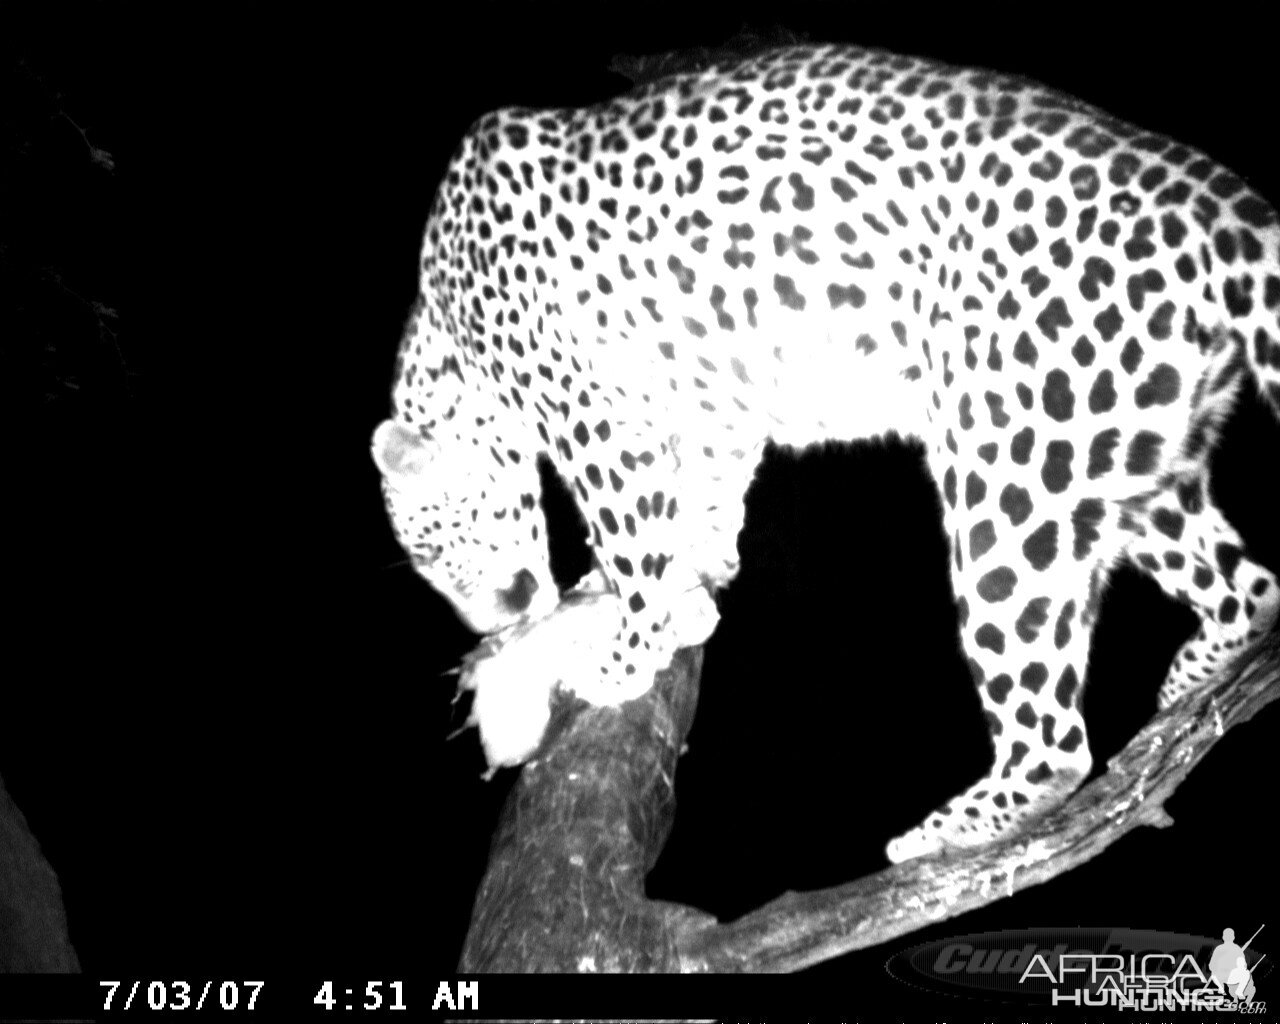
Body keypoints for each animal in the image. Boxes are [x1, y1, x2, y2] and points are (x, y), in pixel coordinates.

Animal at [373, 40, 1280, 860]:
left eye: (435, 551)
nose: (495, 622)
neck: (445, 333)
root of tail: (1214, 198)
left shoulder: (595, 421)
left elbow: (634, 542)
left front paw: (625, 650)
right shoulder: (712, 406)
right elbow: (701, 502)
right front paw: (690, 585)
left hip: (1011, 472)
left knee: (1054, 739)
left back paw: (949, 829)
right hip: (1122, 455)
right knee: (1253, 590)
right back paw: (1193, 676)